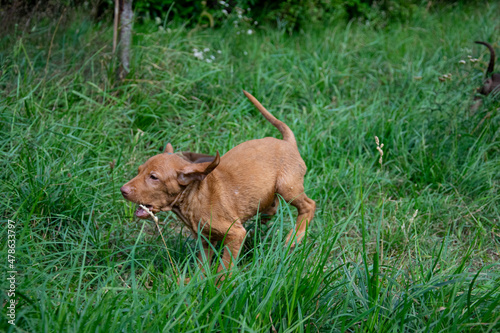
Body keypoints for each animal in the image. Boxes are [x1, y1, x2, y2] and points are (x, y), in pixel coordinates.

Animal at [121, 90, 314, 278]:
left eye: (154, 177)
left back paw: (294, 238)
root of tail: (288, 142)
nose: (122, 190)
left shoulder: (235, 233)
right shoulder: (206, 239)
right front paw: (194, 283)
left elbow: (225, 268)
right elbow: (202, 266)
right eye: (139, 171)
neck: (195, 196)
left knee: (308, 205)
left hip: (288, 187)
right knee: (272, 207)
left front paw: (222, 284)